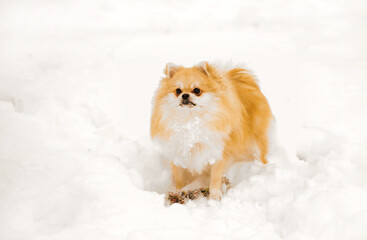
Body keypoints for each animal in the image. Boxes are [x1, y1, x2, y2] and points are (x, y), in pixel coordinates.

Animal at [150, 61, 274, 199]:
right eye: (178, 91)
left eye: (197, 90)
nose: (185, 95)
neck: (191, 121)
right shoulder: (177, 152)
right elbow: (179, 178)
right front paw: (178, 191)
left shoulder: (218, 152)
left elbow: (215, 177)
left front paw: (214, 197)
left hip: (258, 141)